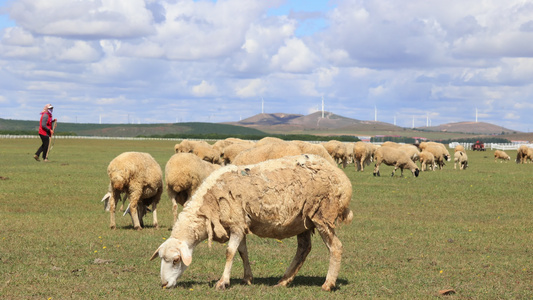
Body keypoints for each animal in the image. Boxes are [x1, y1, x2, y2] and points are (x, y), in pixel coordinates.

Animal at [149, 155, 354, 290]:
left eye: (176, 260)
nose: (164, 284)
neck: (208, 202)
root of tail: (342, 178)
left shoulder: (236, 224)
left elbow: (230, 252)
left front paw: (222, 282)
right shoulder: (239, 225)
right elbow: (242, 252)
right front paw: (247, 278)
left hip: (322, 214)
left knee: (336, 247)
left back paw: (328, 284)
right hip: (302, 220)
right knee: (304, 249)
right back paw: (284, 281)